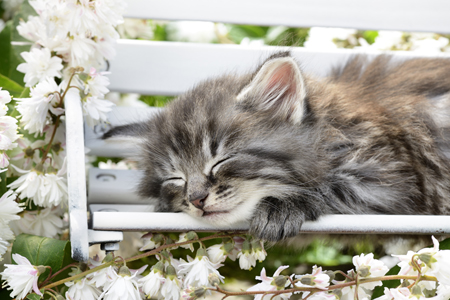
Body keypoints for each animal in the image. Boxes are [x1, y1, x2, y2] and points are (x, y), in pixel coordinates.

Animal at [103, 52, 450, 243]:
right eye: (176, 179)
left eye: (220, 161)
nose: (197, 200)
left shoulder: (394, 182)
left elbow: (332, 188)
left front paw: (281, 207)